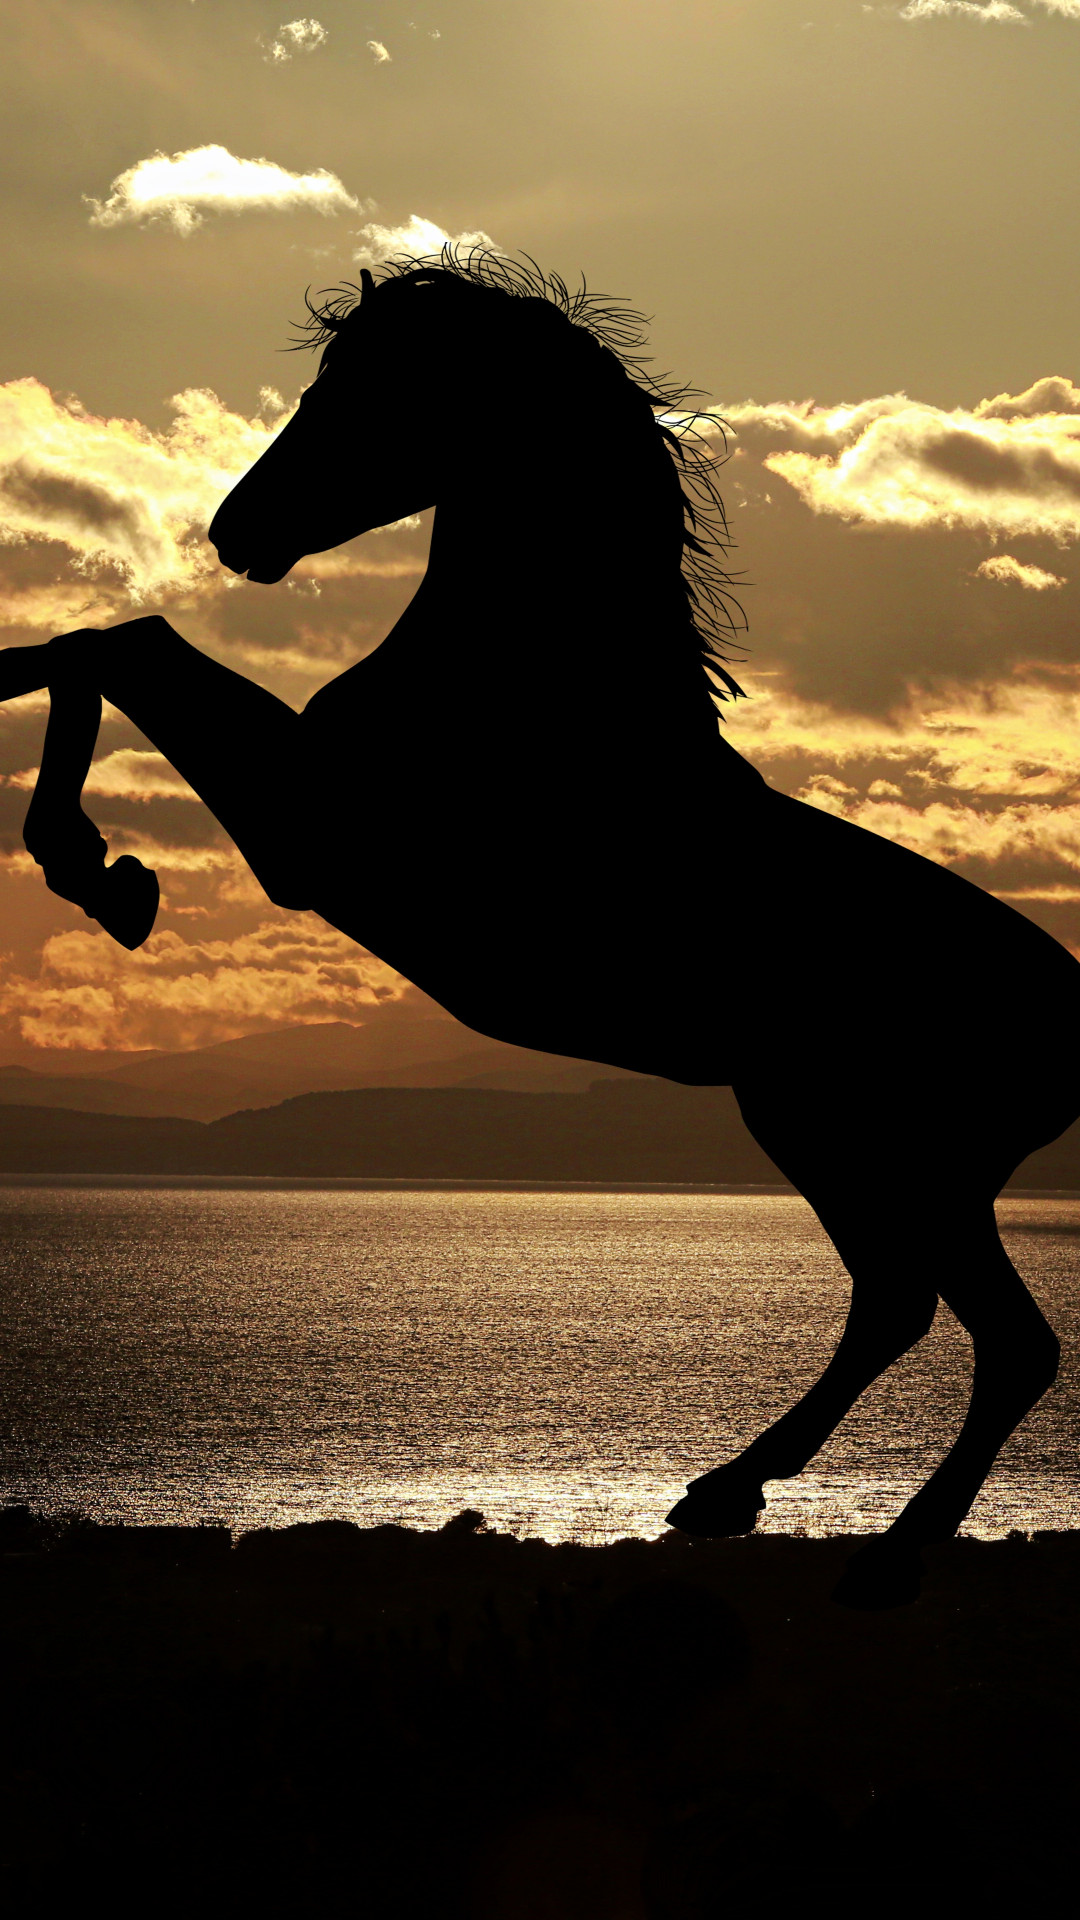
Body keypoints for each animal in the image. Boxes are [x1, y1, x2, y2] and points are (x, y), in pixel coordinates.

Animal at [2, 250, 1076, 1607]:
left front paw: (97, 869)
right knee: (904, 1306)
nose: (235, 532)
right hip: (852, 1142)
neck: (533, 687)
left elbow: (123, 644)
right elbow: (93, 643)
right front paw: (97, 860)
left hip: (881, 1146)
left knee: (1000, 1338)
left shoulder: (312, 833)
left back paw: (886, 1550)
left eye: (369, 389)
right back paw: (727, 1495)